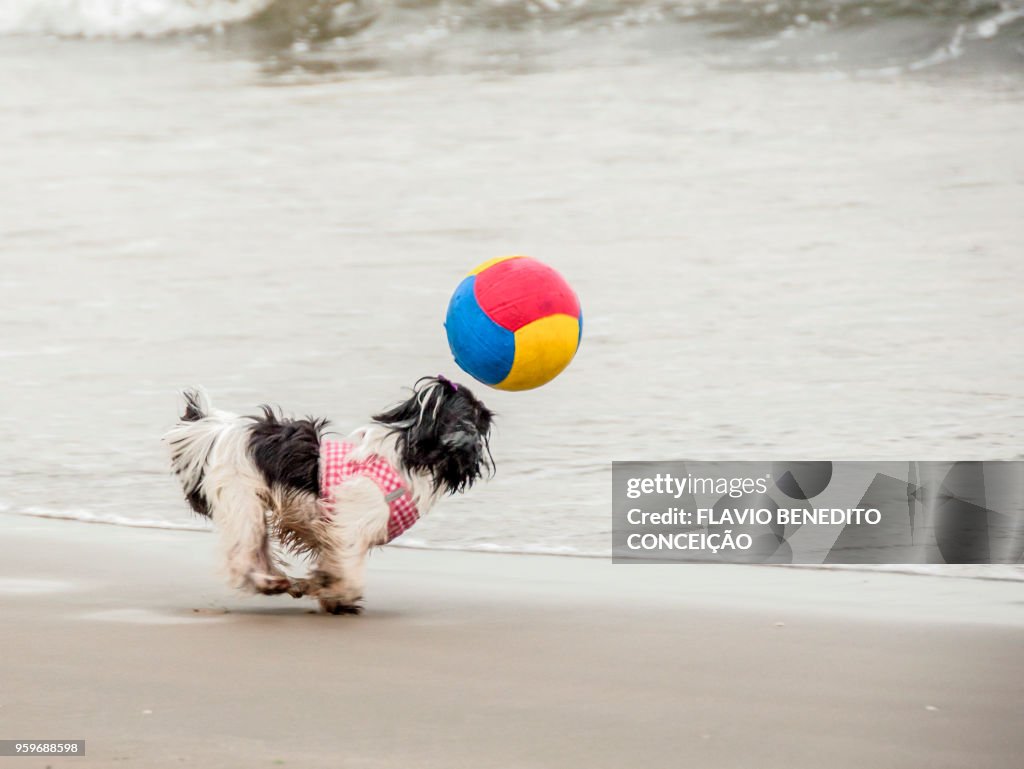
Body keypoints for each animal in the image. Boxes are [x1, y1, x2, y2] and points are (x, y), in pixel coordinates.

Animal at [165, 376, 493, 614]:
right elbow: (349, 572)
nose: (488, 410)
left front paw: (326, 591)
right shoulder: (347, 527)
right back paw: (270, 583)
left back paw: (282, 581)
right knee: (241, 558)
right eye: (477, 412)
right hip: (242, 501)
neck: (409, 456)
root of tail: (219, 432)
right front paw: (335, 593)